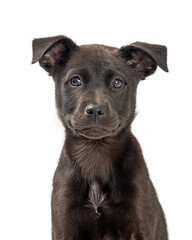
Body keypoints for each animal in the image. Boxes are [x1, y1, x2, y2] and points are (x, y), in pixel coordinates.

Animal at [32, 36, 168, 240]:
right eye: (75, 81)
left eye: (117, 83)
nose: (95, 109)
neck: (96, 152)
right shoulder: (63, 225)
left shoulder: (140, 225)